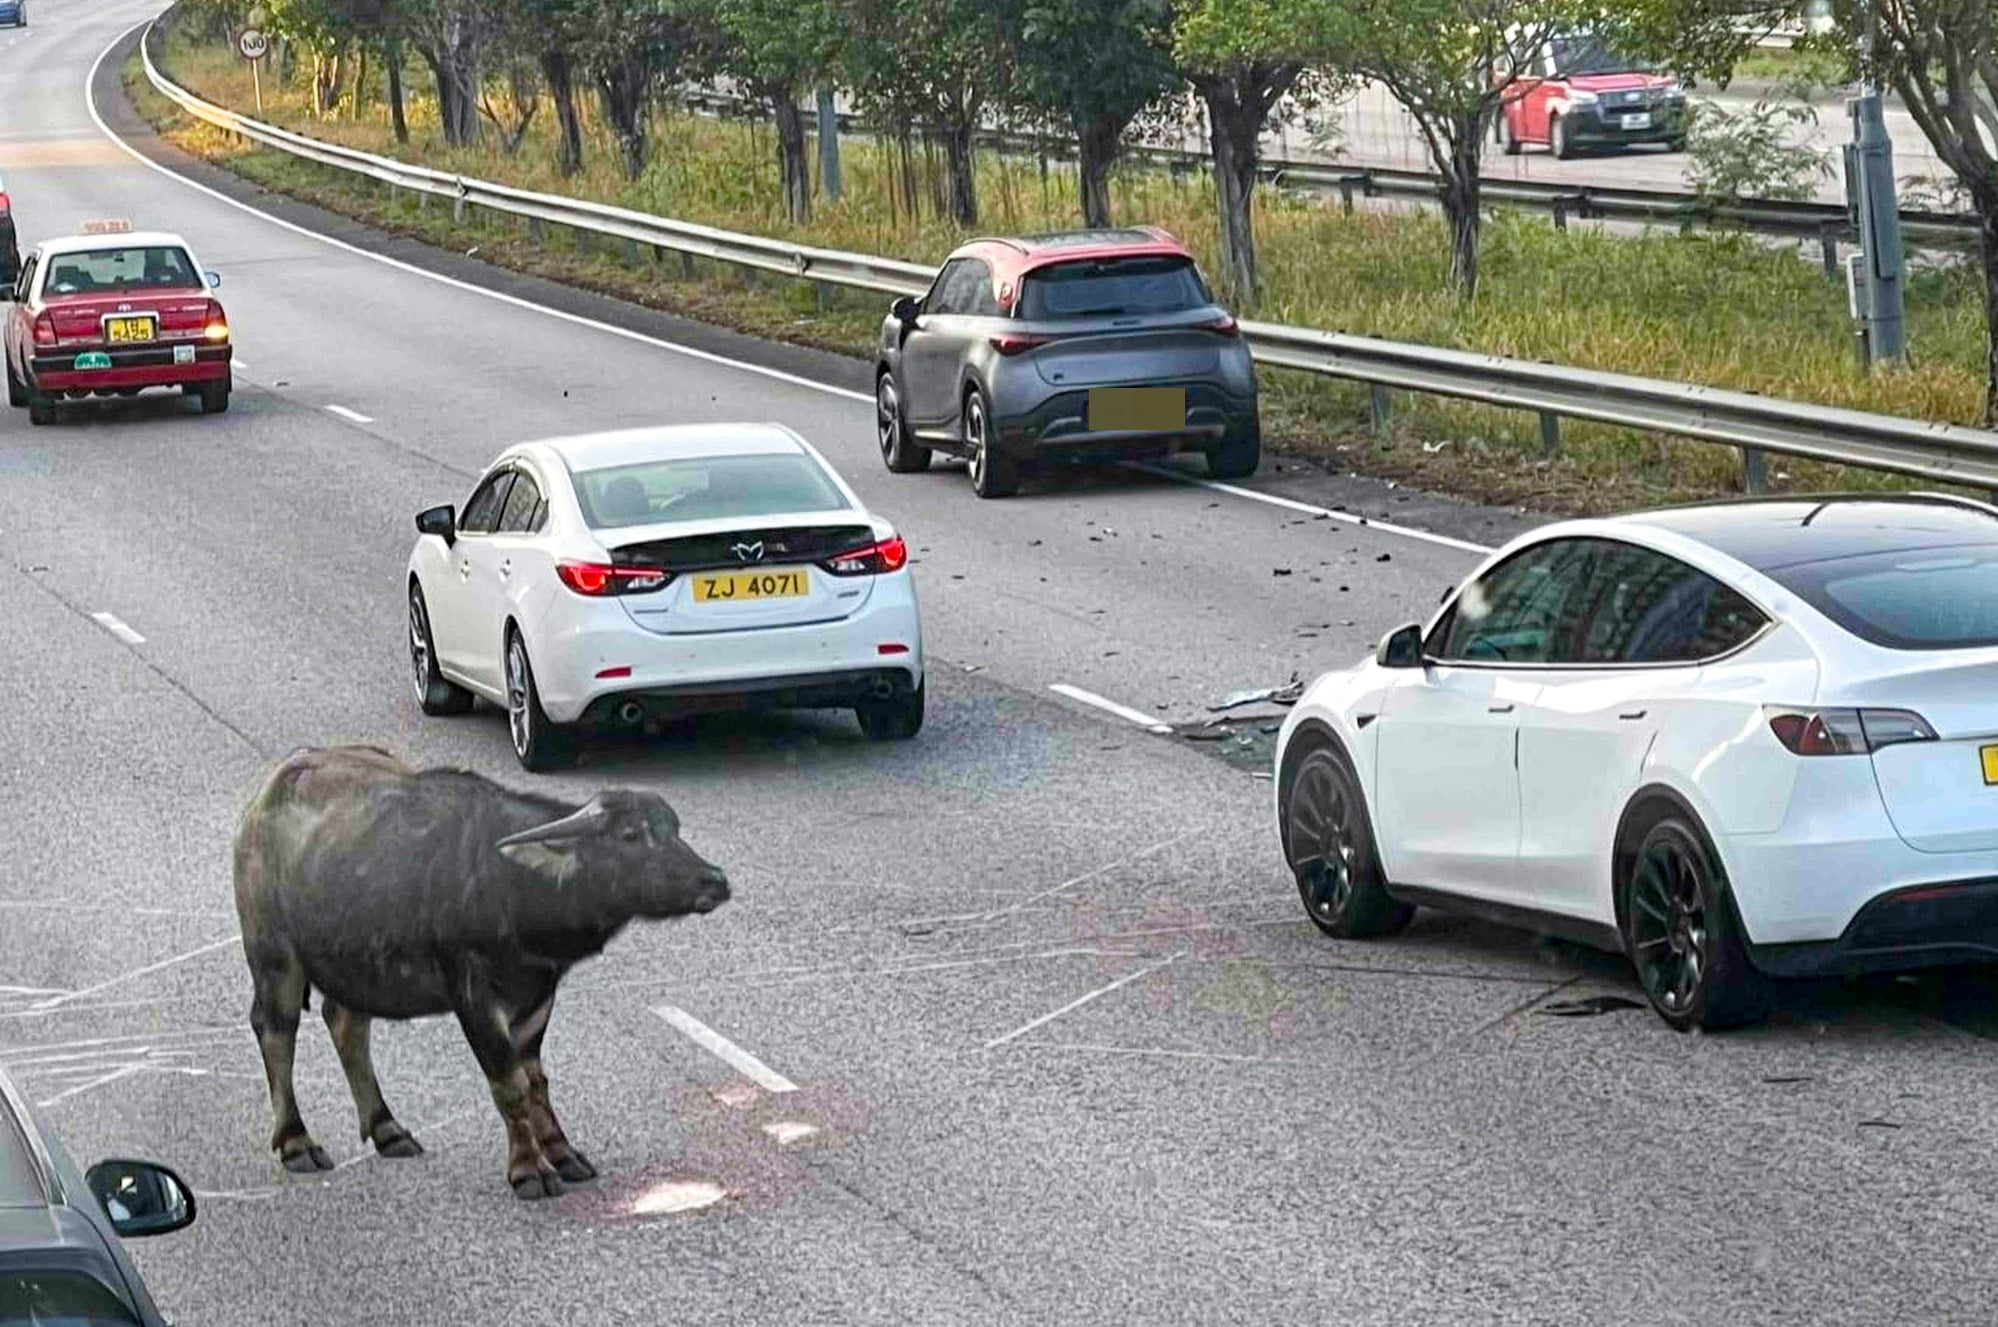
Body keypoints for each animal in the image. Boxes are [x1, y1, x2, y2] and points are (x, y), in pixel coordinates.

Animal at [232, 745, 730, 1199]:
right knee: (276, 1030)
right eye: (629, 835)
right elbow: (509, 1084)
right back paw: (296, 1142)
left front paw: (563, 1153)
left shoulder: (537, 995)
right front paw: (529, 1170)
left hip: (355, 962)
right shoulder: (474, 996)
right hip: (274, 956)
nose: (715, 880)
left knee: (346, 1023)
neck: (507, 881)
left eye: (675, 828)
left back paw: (388, 1128)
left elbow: (535, 1081)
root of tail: (260, 803)